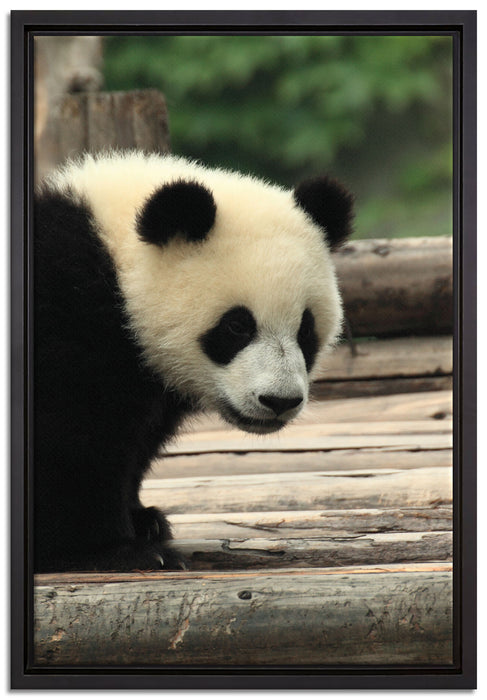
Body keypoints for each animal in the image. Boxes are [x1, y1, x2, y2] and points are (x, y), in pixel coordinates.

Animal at [34, 150, 354, 572]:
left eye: (306, 330)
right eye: (237, 326)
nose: (279, 401)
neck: (115, 265)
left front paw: (145, 521)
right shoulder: (65, 322)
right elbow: (69, 440)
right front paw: (114, 550)